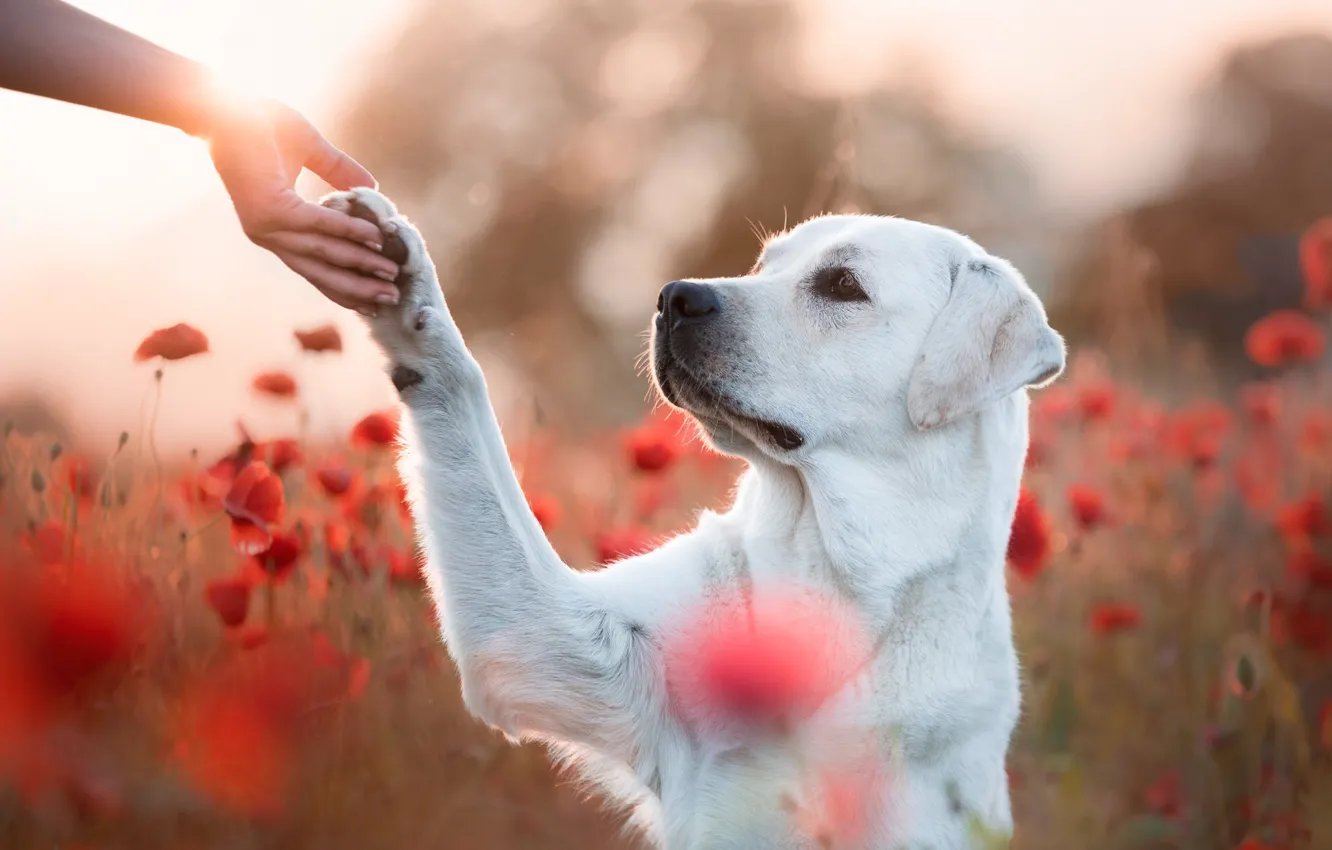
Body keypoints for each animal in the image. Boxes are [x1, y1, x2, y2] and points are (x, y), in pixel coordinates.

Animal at [325, 187, 1070, 850]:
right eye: (764, 264)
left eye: (841, 285)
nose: (674, 297)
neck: (834, 570)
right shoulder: (544, 634)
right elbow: (464, 396)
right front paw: (403, 288)